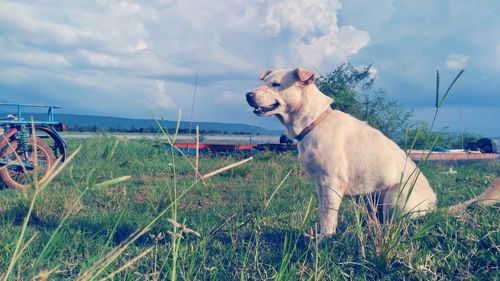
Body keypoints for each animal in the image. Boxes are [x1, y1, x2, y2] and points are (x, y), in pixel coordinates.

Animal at [246, 66, 438, 235]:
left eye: (276, 84)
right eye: (264, 82)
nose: (248, 95)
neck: (314, 123)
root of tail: (434, 203)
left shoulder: (332, 181)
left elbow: (329, 216)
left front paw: (325, 239)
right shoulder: (320, 183)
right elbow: (323, 212)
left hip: (396, 195)